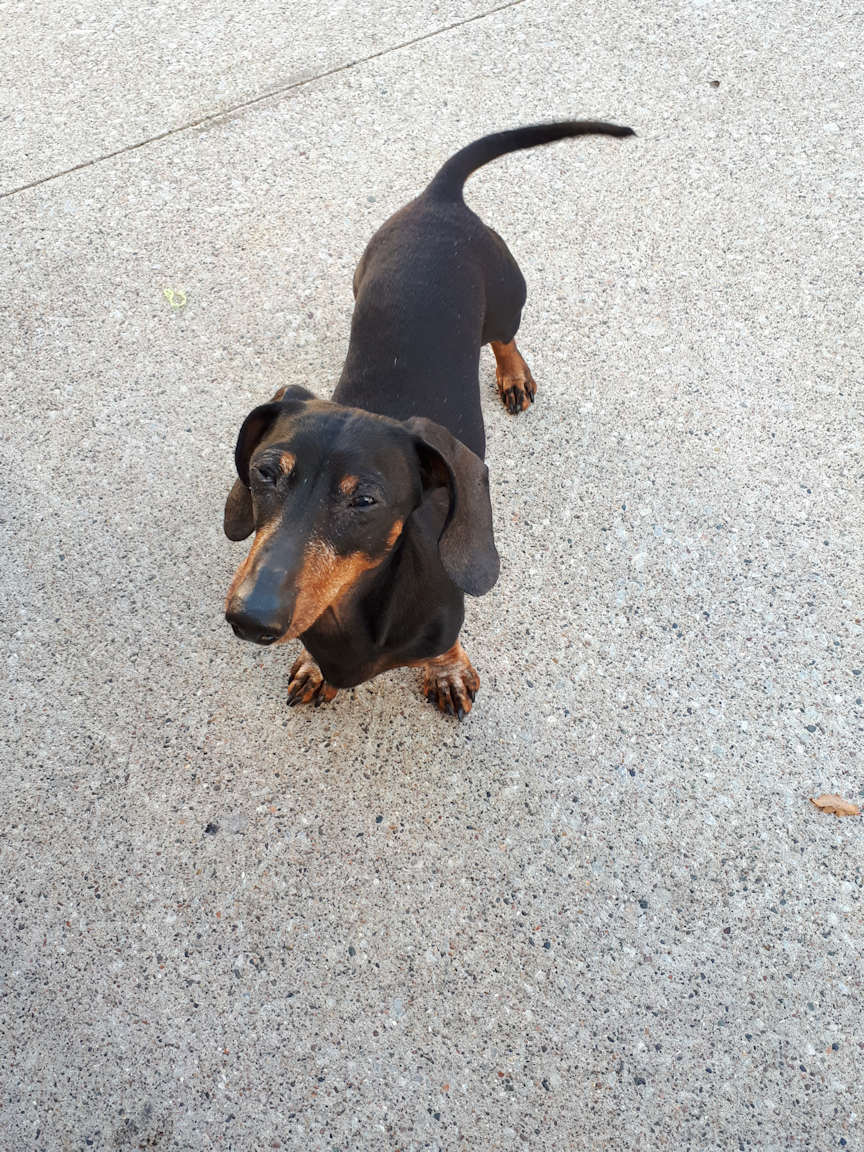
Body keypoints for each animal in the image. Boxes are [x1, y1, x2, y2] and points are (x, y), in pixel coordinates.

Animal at [224, 120, 634, 717]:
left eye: (365, 500)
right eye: (264, 472)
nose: (249, 619)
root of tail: (440, 199)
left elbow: (447, 647)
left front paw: (447, 673)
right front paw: (312, 667)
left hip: (507, 297)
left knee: (505, 337)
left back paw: (513, 375)